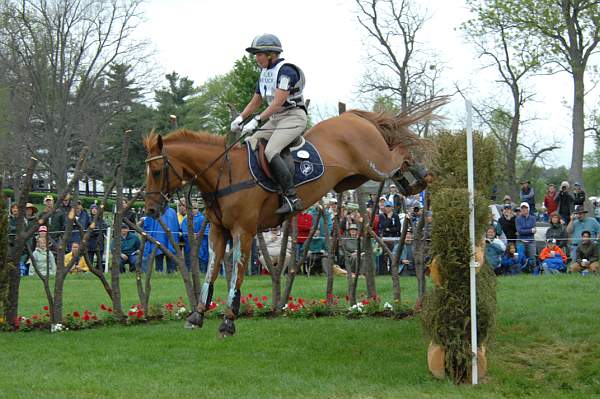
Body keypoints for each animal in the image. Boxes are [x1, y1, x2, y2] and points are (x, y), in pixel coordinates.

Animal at [143, 103, 438, 338]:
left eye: (156, 171)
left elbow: (237, 273)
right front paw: (198, 315)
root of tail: (352, 117)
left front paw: (228, 320)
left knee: (399, 151)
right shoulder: (218, 231)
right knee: (396, 157)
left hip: (375, 163)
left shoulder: (243, 232)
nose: (151, 210)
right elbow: (211, 272)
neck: (224, 174)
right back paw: (410, 181)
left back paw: (420, 176)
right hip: (353, 178)